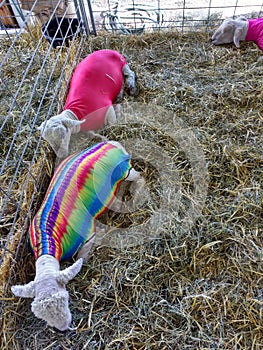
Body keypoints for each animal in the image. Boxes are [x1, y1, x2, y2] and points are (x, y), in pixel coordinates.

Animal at [11, 140, 146, 330]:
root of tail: (111, 142)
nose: (63, 329)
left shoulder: (88, 235)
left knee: (140, 177)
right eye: (39, 314)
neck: (47, 237)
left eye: (66, 298)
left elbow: (81, 259)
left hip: (124, 170)